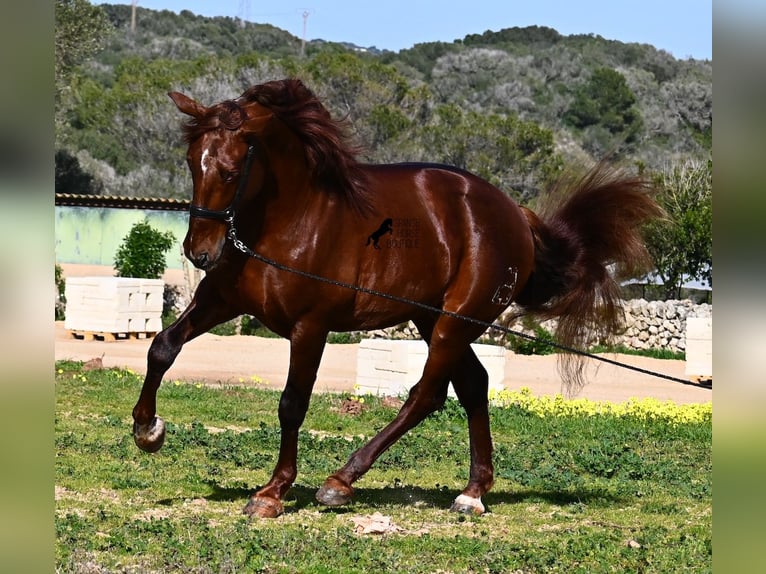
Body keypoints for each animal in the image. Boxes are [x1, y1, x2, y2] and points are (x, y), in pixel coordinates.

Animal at [130, 79, 660, 520]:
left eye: (231, 169)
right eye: (191, 161)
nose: (200, 252)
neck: (290, 221)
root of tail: (513, 212)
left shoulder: (310, 328)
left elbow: (292, 403)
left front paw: (272, 493)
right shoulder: (220, 301)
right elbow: (162, 347)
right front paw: (148, 431)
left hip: (454, 322)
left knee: (428, 394)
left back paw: (342, 481)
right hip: (433, 321)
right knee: (474, 385)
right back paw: (472, 493)